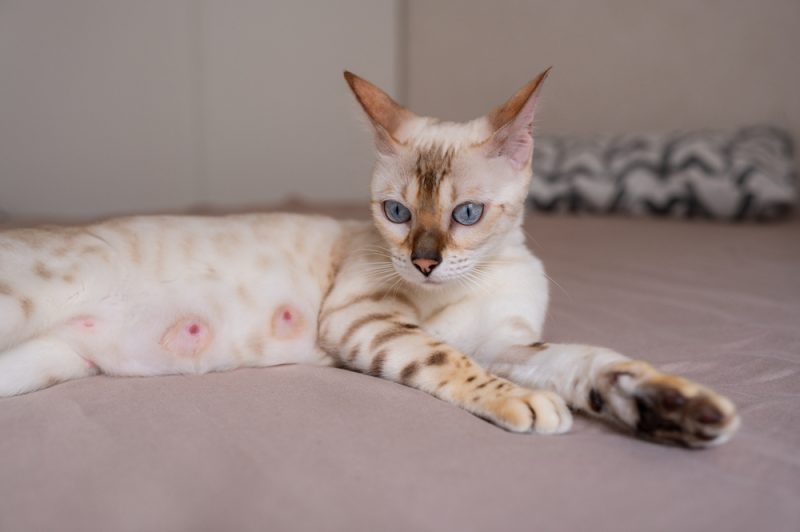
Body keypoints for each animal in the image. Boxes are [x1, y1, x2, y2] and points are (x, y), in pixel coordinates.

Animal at [0, 68, 740, 446]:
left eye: (466, 215)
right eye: (397, 213)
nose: (425, 264)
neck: (468, 286)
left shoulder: (507, 342)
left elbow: (590, 362)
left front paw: (678, 410)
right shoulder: (363, 320)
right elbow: (453, 361)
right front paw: (524, 405)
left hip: (38, 364)